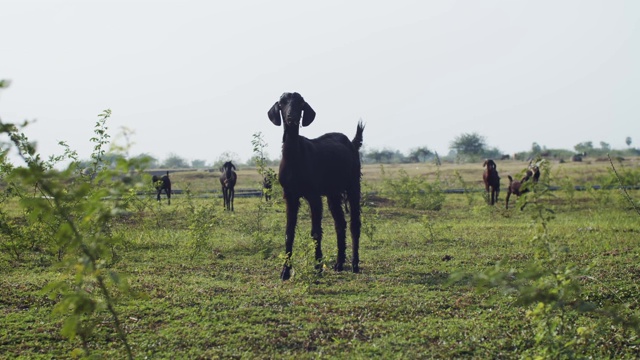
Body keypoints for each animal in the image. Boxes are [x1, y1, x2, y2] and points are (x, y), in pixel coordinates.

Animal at [266, 90, 364, 282]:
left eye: (300, 103)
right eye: (282, 103)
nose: (291, 117)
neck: (295, 157)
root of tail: (352, 143)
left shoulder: (314, 195)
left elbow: (316, 231)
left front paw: (318, 267)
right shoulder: (290, 195)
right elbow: (289, 233)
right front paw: (285, 271)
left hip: (353, 184)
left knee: (354, 223)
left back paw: (355, 265)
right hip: (333, 193)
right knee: (340, 223)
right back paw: (339, 264)